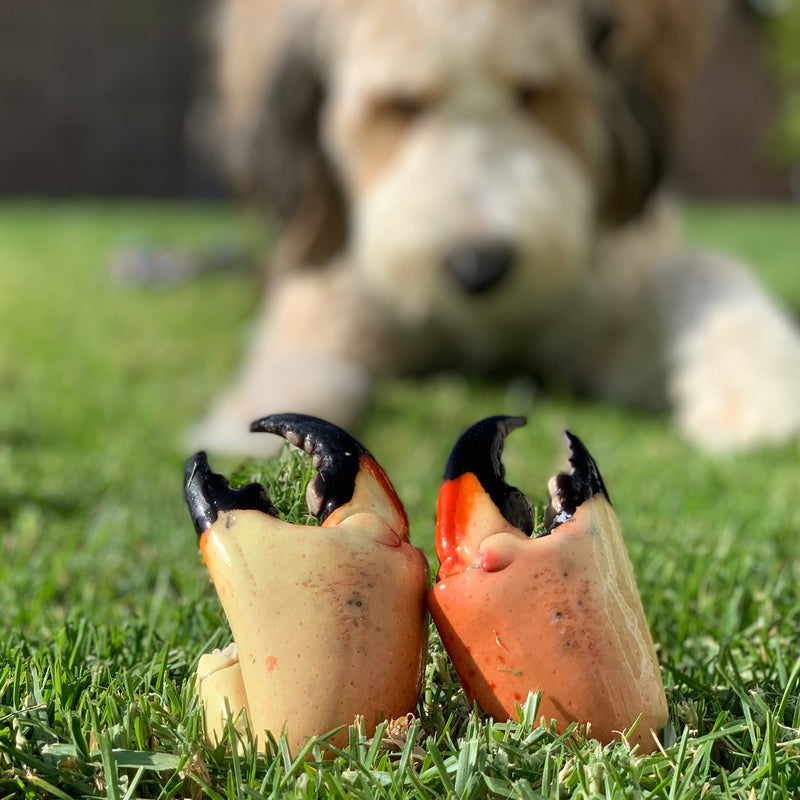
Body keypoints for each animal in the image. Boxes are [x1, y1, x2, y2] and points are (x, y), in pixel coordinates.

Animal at [194, 0, 800, 454]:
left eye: (534, 91)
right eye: (401, 103)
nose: (478, 267)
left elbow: (703, 269)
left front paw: (759, 388)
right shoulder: (334, 290)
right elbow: (299, 355)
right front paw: (247, 424)